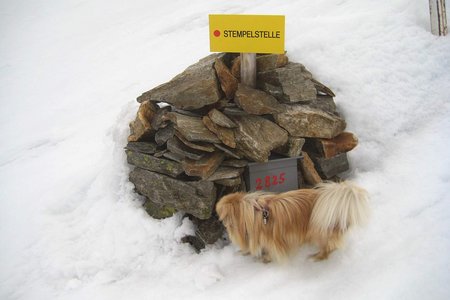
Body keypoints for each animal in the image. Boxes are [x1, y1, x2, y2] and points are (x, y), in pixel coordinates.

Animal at [217, 180, 370, 262]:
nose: (222, 224)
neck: (256, 214)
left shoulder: (271, 241)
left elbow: (269, 251)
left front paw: (265, 259)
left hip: (319, 233)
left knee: (328, 248)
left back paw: (316, 257)